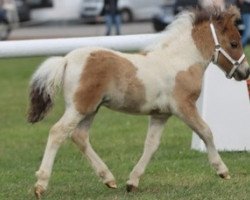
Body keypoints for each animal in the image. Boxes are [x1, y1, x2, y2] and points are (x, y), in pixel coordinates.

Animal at [28, 6, 249, 198]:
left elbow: (151, 145)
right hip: (79, 107)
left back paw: (109, 179)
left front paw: (132, 182)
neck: (181, 61)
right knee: (57, 132)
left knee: (79, 136)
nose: (245, 72)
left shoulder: (160, 114)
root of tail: (65, 61)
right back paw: (40, 185)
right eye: (234, 43)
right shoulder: (184, 107)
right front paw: (222, 171)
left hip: (90, 109)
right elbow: (206, 132)